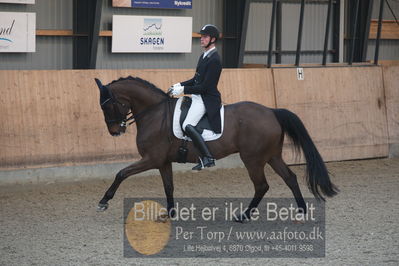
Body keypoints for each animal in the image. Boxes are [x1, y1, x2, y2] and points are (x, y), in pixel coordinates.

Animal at [95, 75, 340, 220]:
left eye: (107, 106)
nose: (115, 131)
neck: (154, 113)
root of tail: (271, 111)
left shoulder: (151, 159)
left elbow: (121, 173)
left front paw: (103, 201)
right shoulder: (162, 162)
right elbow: (168, 187)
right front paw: (170, 214)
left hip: (252, 159)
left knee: (262, 185)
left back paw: (244, 216)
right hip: (271, 156)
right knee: (290, 178)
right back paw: (301, 211)